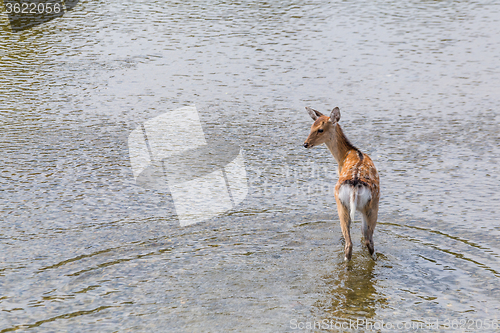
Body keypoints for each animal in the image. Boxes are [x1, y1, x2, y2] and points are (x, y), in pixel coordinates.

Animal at [302, 106, 380, 262]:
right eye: (311, 126)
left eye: (320, 129)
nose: (305, 144)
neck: (345, 155)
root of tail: (355, 186)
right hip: (369, 206)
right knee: (367, 240)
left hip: (343, 204)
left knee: (352, 242)